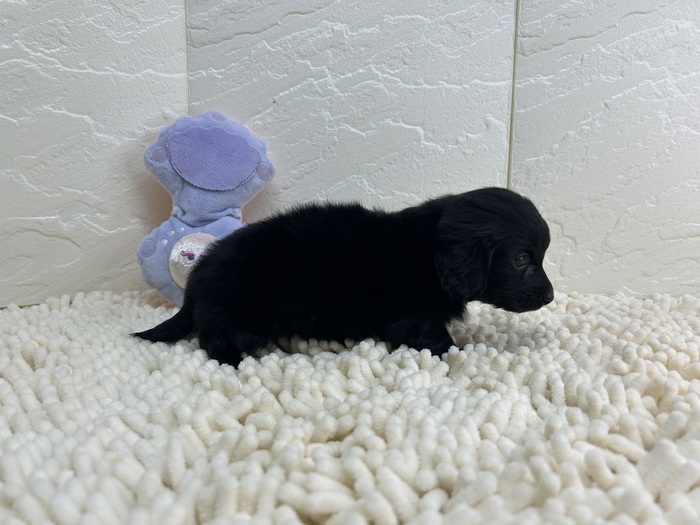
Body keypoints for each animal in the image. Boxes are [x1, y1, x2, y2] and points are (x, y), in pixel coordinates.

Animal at [135, 187, 554, 366]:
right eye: (521, 259)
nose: (550, 297)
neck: (430, 254)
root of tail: (200, 272)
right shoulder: (414, 318)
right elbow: (438, 339)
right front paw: (462, 353)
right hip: (239, 314)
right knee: (213, 339)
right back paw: (236, 360)